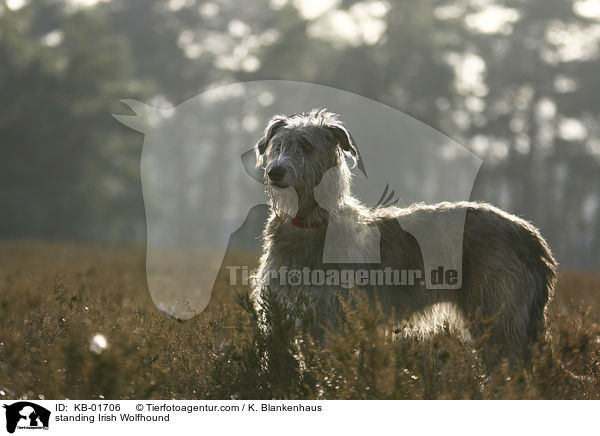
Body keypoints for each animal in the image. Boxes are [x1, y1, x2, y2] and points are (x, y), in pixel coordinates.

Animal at [250, 107, 556, 360]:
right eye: (278, 146)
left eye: (306, 146)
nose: (275, 172)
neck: (308, 223)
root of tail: (530, 234)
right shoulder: (283, 313)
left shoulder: (334, 318)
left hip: (498, 315)